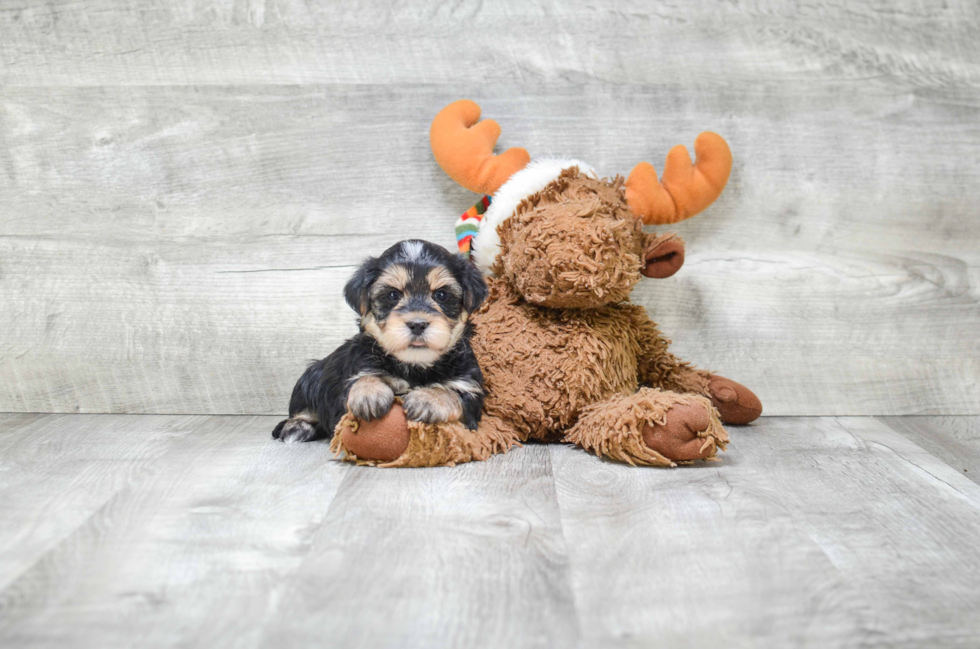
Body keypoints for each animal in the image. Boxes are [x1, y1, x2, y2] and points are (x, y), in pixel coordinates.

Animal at [270, 240, 488, 442]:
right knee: (303, 409)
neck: (416, 365)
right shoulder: (359, 369)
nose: (417, 324)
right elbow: (362, 379)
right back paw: (297, 427)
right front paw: (368, 394)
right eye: (392, 295)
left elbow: (453, 395)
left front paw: (428, 398)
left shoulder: (469, 389)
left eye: (441, 295)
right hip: (310, 378)